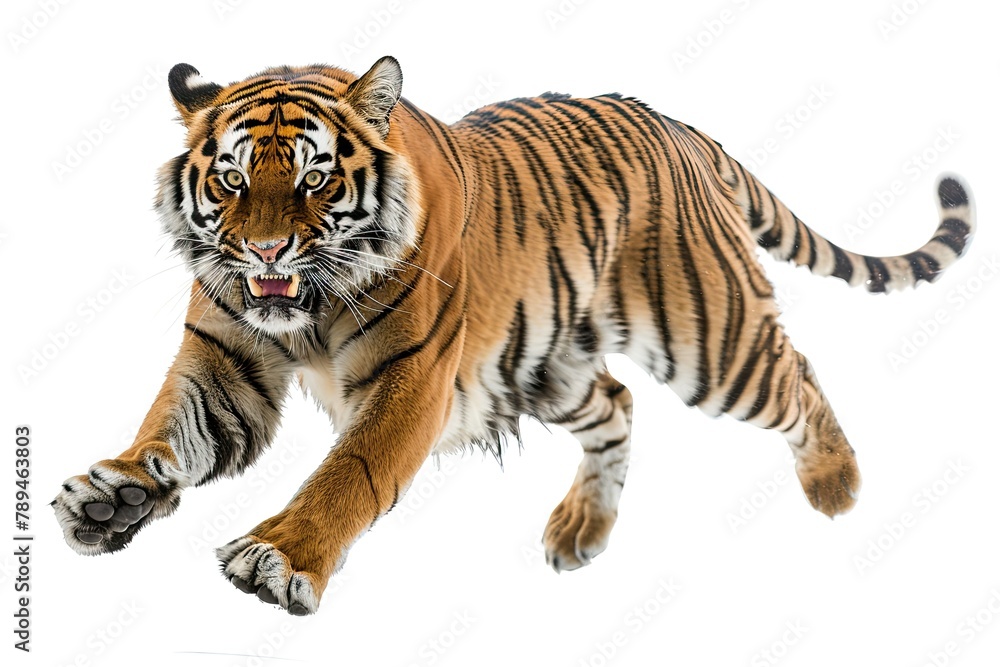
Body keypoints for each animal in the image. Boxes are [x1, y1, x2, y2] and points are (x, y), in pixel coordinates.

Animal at [52, 56, 976, 616]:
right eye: (233, 180)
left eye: (314, 179)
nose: (266, 250)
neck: (302, 309)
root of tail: (684, 129)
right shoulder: (226, 361)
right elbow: (169, 429)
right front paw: (112, 493)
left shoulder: (410, 380)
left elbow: (348, 473)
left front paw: (280, 555)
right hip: (545, 365)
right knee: (618, 402)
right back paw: (581, 530)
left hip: (708, 339)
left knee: (797, 373)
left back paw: (835, 483)